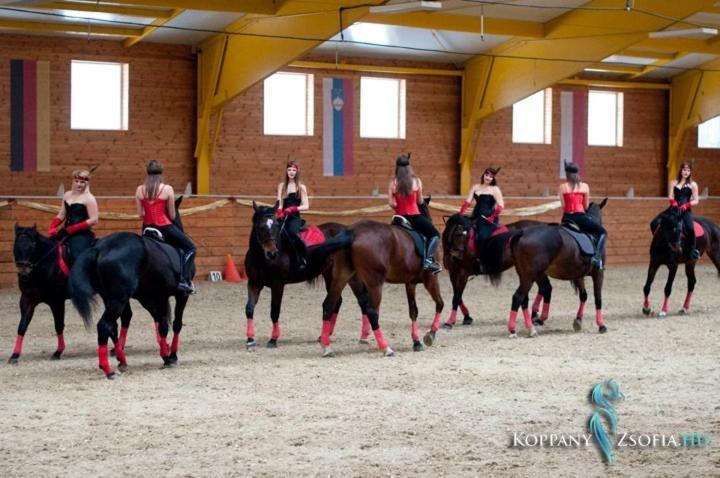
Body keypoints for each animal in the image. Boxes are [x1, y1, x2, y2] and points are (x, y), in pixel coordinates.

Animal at [10, 224, 71, 362]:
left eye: (33, 244)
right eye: (16, 243)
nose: (24, 272)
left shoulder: (57, 301)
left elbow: (58, 325)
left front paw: (58, 352)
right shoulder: (27, 299)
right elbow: (22, 326)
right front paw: (14, 355)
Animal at [70, 196, 193, 380]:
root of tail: (100, 248)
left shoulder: (150, 297)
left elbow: (161, 322)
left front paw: (165, 354)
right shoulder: (180, 295)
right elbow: (175, 323)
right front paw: (172, 356)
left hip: (112, 297)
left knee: (114, 325)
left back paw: (121, 360)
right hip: (119, 298)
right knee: (104, 325)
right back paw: (108, 369)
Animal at [246, 202, 372, 348]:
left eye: (277, 226)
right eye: (261, 226)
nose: (272, 253)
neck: (261, 259)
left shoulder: (278, 285)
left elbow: (274, 311)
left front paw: (273, 339)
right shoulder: (254, 283)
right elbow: (249, 309)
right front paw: (250, 339)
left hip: (351, 277)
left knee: (362, 300)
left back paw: (364, 336)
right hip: (330, 274)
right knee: (337, 301)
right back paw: (325, 334)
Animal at [320, 202, 444, 354]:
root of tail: (352, 232)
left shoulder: (410, 283)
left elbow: (413, 311)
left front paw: (416, 341)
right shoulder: (431, 280)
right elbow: (440, 304)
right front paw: (431, 334)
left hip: (342, 276)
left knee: (329, 304)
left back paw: (327, 347)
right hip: (375, 283)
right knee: (372, 311)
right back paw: (385, 347)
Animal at [506, 198, 608, 336]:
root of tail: (522, 233)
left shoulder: (579, 275)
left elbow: (584, 296)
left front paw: (578, 320)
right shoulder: (598, 273)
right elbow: (598, 298)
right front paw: (601, 325)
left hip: (525, 274)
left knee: (526, 298)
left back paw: (531, 325)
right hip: (530, 275)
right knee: (518, 297)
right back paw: (518, 329)